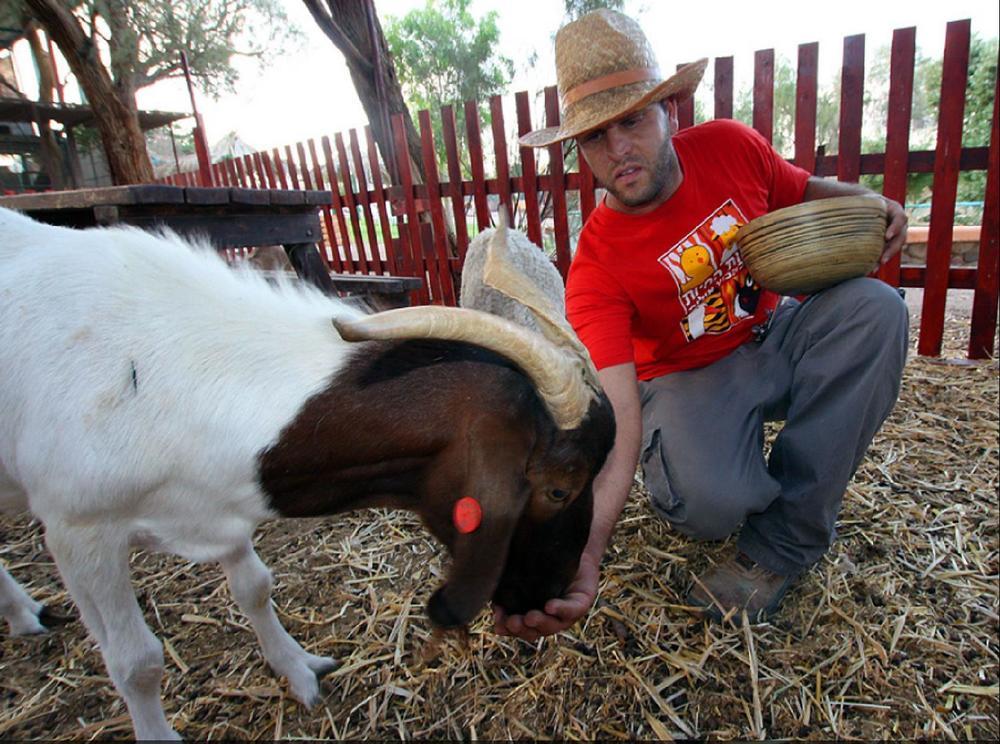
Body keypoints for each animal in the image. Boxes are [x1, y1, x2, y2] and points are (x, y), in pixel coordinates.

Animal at [0, 206, 612, 740]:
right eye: (560, 487)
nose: (553, 597)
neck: (157, 374)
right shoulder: (79, 531)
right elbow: (135, 662)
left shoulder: (223, 507)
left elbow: (254, 588)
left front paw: (298, 670)